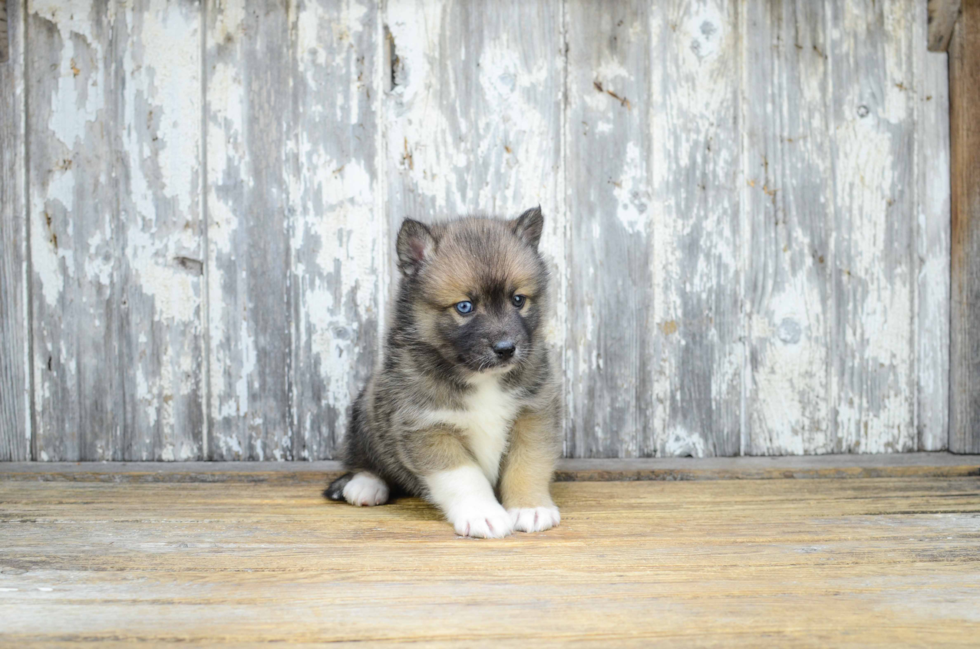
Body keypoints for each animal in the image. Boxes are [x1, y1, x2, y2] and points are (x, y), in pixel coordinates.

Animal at [328, 208, 564, 536]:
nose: (506, 349)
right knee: (362, 457)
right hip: (365, 411)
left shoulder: (534, 412)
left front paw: (530, 507)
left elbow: (528, 463)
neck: (480, 377)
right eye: (464, 307)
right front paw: (483, 514)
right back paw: (365, 484)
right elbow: (463, 477)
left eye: (518, 300)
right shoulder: (426, 427)